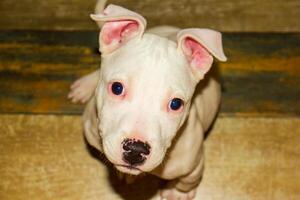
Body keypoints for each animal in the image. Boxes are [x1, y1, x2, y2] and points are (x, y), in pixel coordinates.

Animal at [69, 3, 226, 200]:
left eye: (176, 104)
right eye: (117, 88)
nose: (136, 150)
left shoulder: (193, 165)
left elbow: (187, 181)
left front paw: (177, 193)